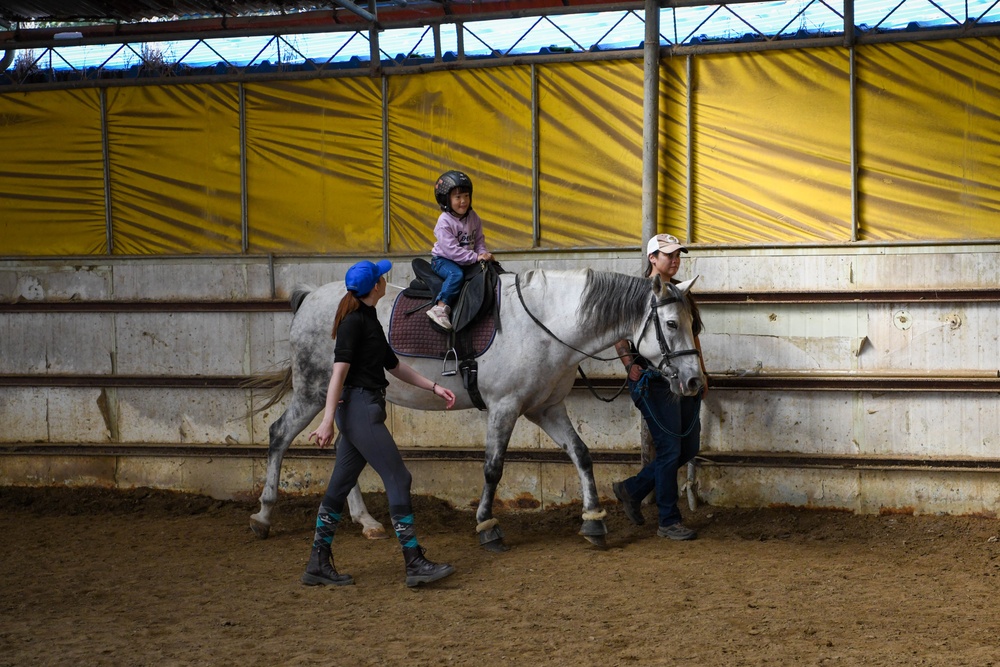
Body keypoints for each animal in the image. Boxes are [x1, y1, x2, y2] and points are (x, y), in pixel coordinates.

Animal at [250, 268, 704, 552]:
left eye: (692, 323)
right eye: (671, 324)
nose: (694, 382)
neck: (544, 326)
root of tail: (310, 298)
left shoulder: (545, 409)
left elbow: (581, 454)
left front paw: (593, 520)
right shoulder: (505, 407)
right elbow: (493, 468)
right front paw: (487, 525)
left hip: (341, 395)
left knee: (346, 449)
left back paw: (367, 523)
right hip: (314, 391)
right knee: (278, 435)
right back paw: (263, 515)